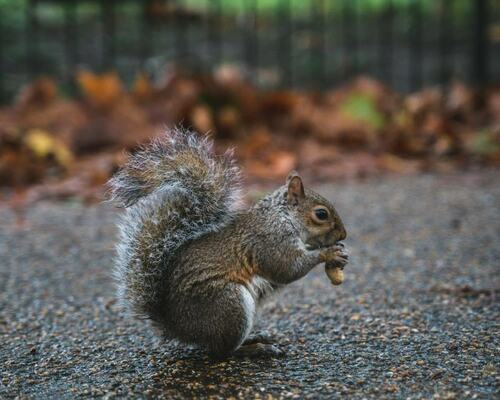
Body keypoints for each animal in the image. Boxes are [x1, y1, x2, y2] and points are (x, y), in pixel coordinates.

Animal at [107, 126, 346, 358]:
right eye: (321, 214)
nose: (343, 235)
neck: (282, 216)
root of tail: (177, 328)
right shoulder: (270, 239)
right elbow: (286, 268)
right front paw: (328, 253)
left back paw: (254, 338)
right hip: (229, 304)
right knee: (222, 351)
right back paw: (254, 349)